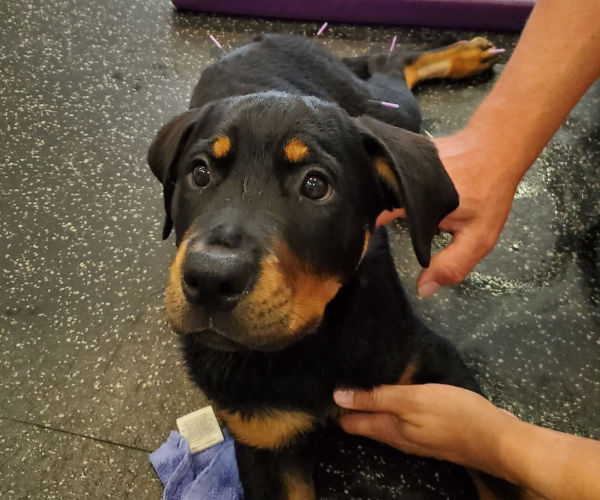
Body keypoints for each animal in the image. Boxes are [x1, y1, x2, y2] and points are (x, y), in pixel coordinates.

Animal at [146, 35, 524, 500]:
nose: (210, 278)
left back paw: (465, 54)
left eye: (315, 185)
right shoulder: (263, 439)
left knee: (391, 64)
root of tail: (263, 39)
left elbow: (489, 464)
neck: (311, 341)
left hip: (384, 110)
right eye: (198, 174)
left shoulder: (429, 361)